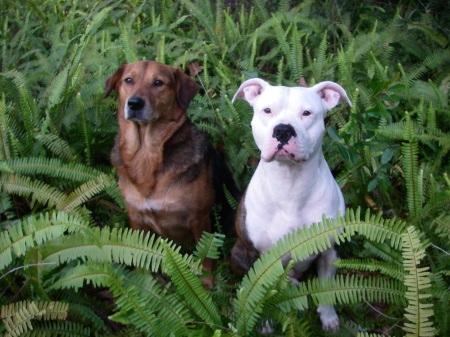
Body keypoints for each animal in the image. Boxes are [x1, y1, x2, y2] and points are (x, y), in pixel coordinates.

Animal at [103, 59, 229, 286]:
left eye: (158, 83)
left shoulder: (200, 218)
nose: (134, 103)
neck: (146, 154)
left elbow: (204, 255)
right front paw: (141, 279)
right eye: (128, 80)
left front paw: (204, 282)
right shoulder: (137, 218)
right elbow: (138, 253)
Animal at [232, 79, 352, 330]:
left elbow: (326, 290)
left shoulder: (330, 252)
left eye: (307, 113)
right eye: (267, 110)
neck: (290, 186)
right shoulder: (258, 257)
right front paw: (264, 323)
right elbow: (260, 290)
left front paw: (328, 317)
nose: (283, 130)